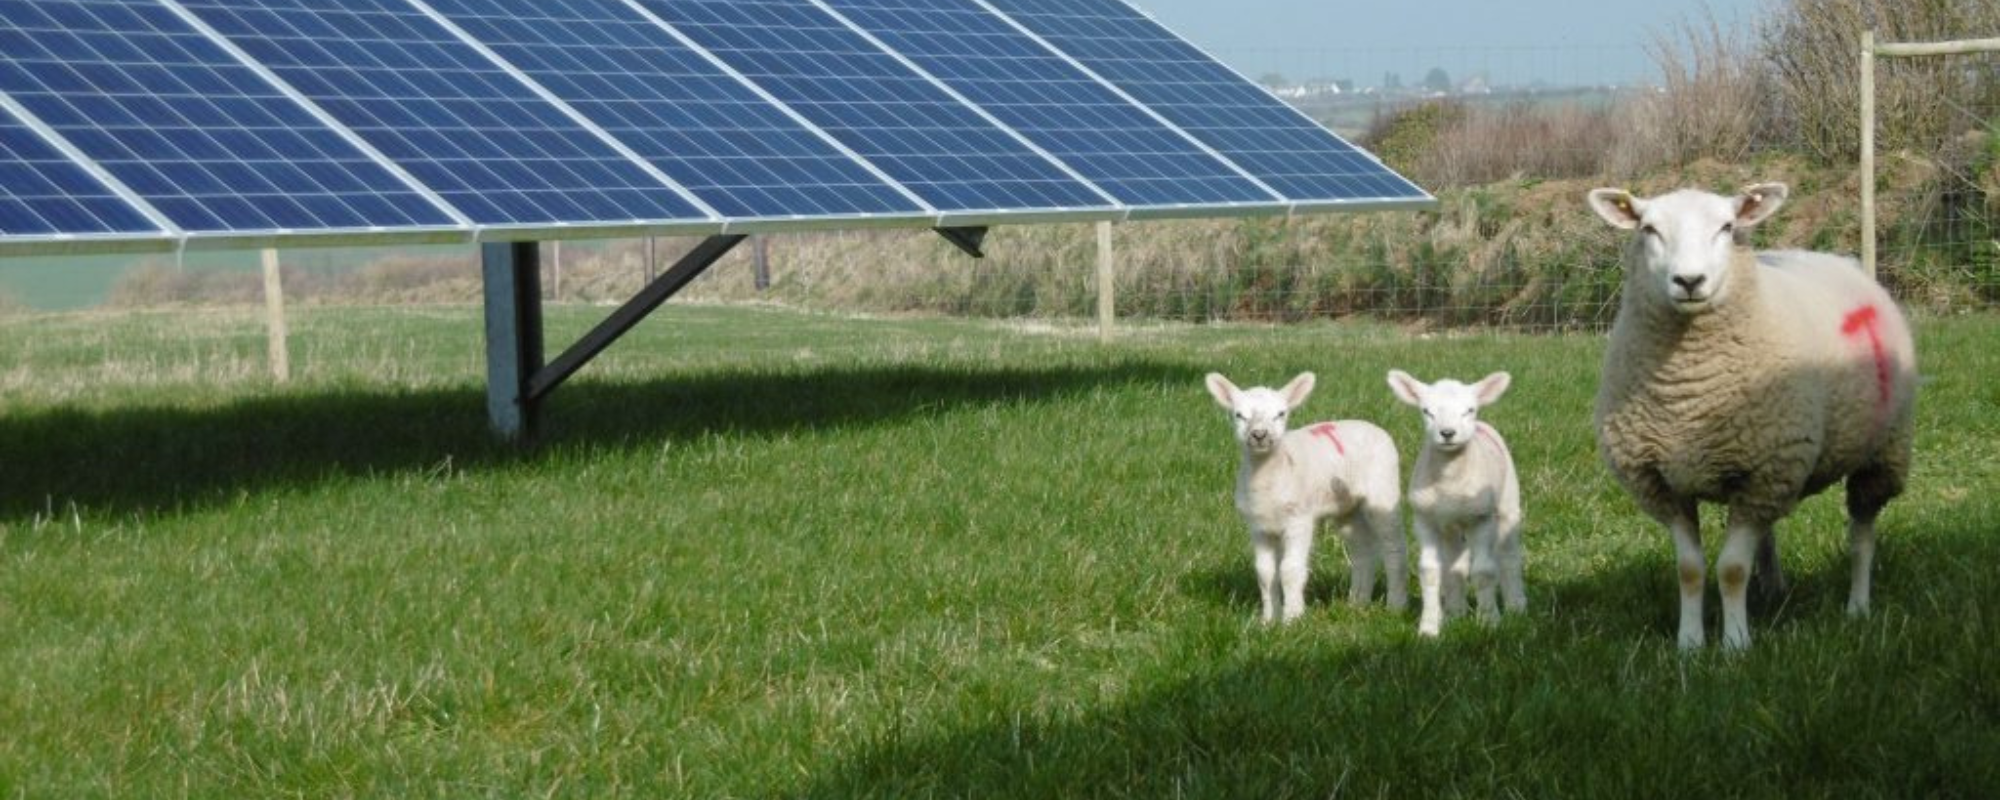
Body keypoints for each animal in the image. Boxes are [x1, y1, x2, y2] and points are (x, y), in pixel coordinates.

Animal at [1204, 372, 1408, 624]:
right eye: (1239, 415)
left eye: (1281, 413)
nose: (1259, 435)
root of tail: (1371, 426)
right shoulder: (1259, 526)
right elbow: (1264, 572)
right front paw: (1268, 620)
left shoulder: (1298, 520)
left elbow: (1290, 570)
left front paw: (1292, 619)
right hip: (1346, 507)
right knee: (1362, 550)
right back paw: (1357, 603)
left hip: (1383, 489)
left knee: (1394, 547)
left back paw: (1396, 605)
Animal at [1386, 370, 1525, 637]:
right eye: (1427, 411)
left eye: (1469, 410)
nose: (1448, 433)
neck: (1450, 480)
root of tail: (1483, 426)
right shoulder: (1424, 519)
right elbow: (1430, 571)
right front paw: (1429, 628)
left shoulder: (1482, 518)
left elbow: (1484, 571)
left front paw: (1490, 622)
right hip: (1451, 526)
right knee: (1455, 567)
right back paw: (1455, 612)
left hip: (1508, 504)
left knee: (1509, 556)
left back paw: (1517, 606)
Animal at [1585, 182, 1918, 651]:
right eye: (1648, 229)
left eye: (1727, 227)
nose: (1689, 281)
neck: (1687, 397)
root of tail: (1841, 258)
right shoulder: (1666, 484)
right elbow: (1690, 570)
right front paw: (1690, 644)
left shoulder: (1763, 471)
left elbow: (1731, 569)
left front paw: (1736, 644)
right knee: (1768, 529)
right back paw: (1773, 587)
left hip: (1881, 450)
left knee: (1861, 535)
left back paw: (1858, 606)